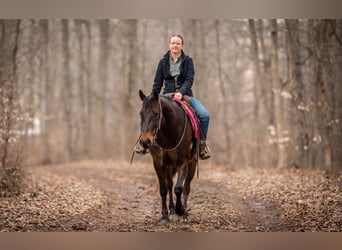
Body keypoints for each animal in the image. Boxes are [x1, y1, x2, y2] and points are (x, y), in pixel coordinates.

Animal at [138, 89, 198, 222]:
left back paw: (184, 212)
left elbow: (179, 188)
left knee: (186, 187)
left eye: (156, 113)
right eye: (141, 114)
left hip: (192, 163)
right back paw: (172, 210)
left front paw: (180, 209)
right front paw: (165, 215)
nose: (145, 142)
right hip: (169, 166)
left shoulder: (183, 162)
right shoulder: (158, 164)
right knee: (170, 185)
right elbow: (163, 189)